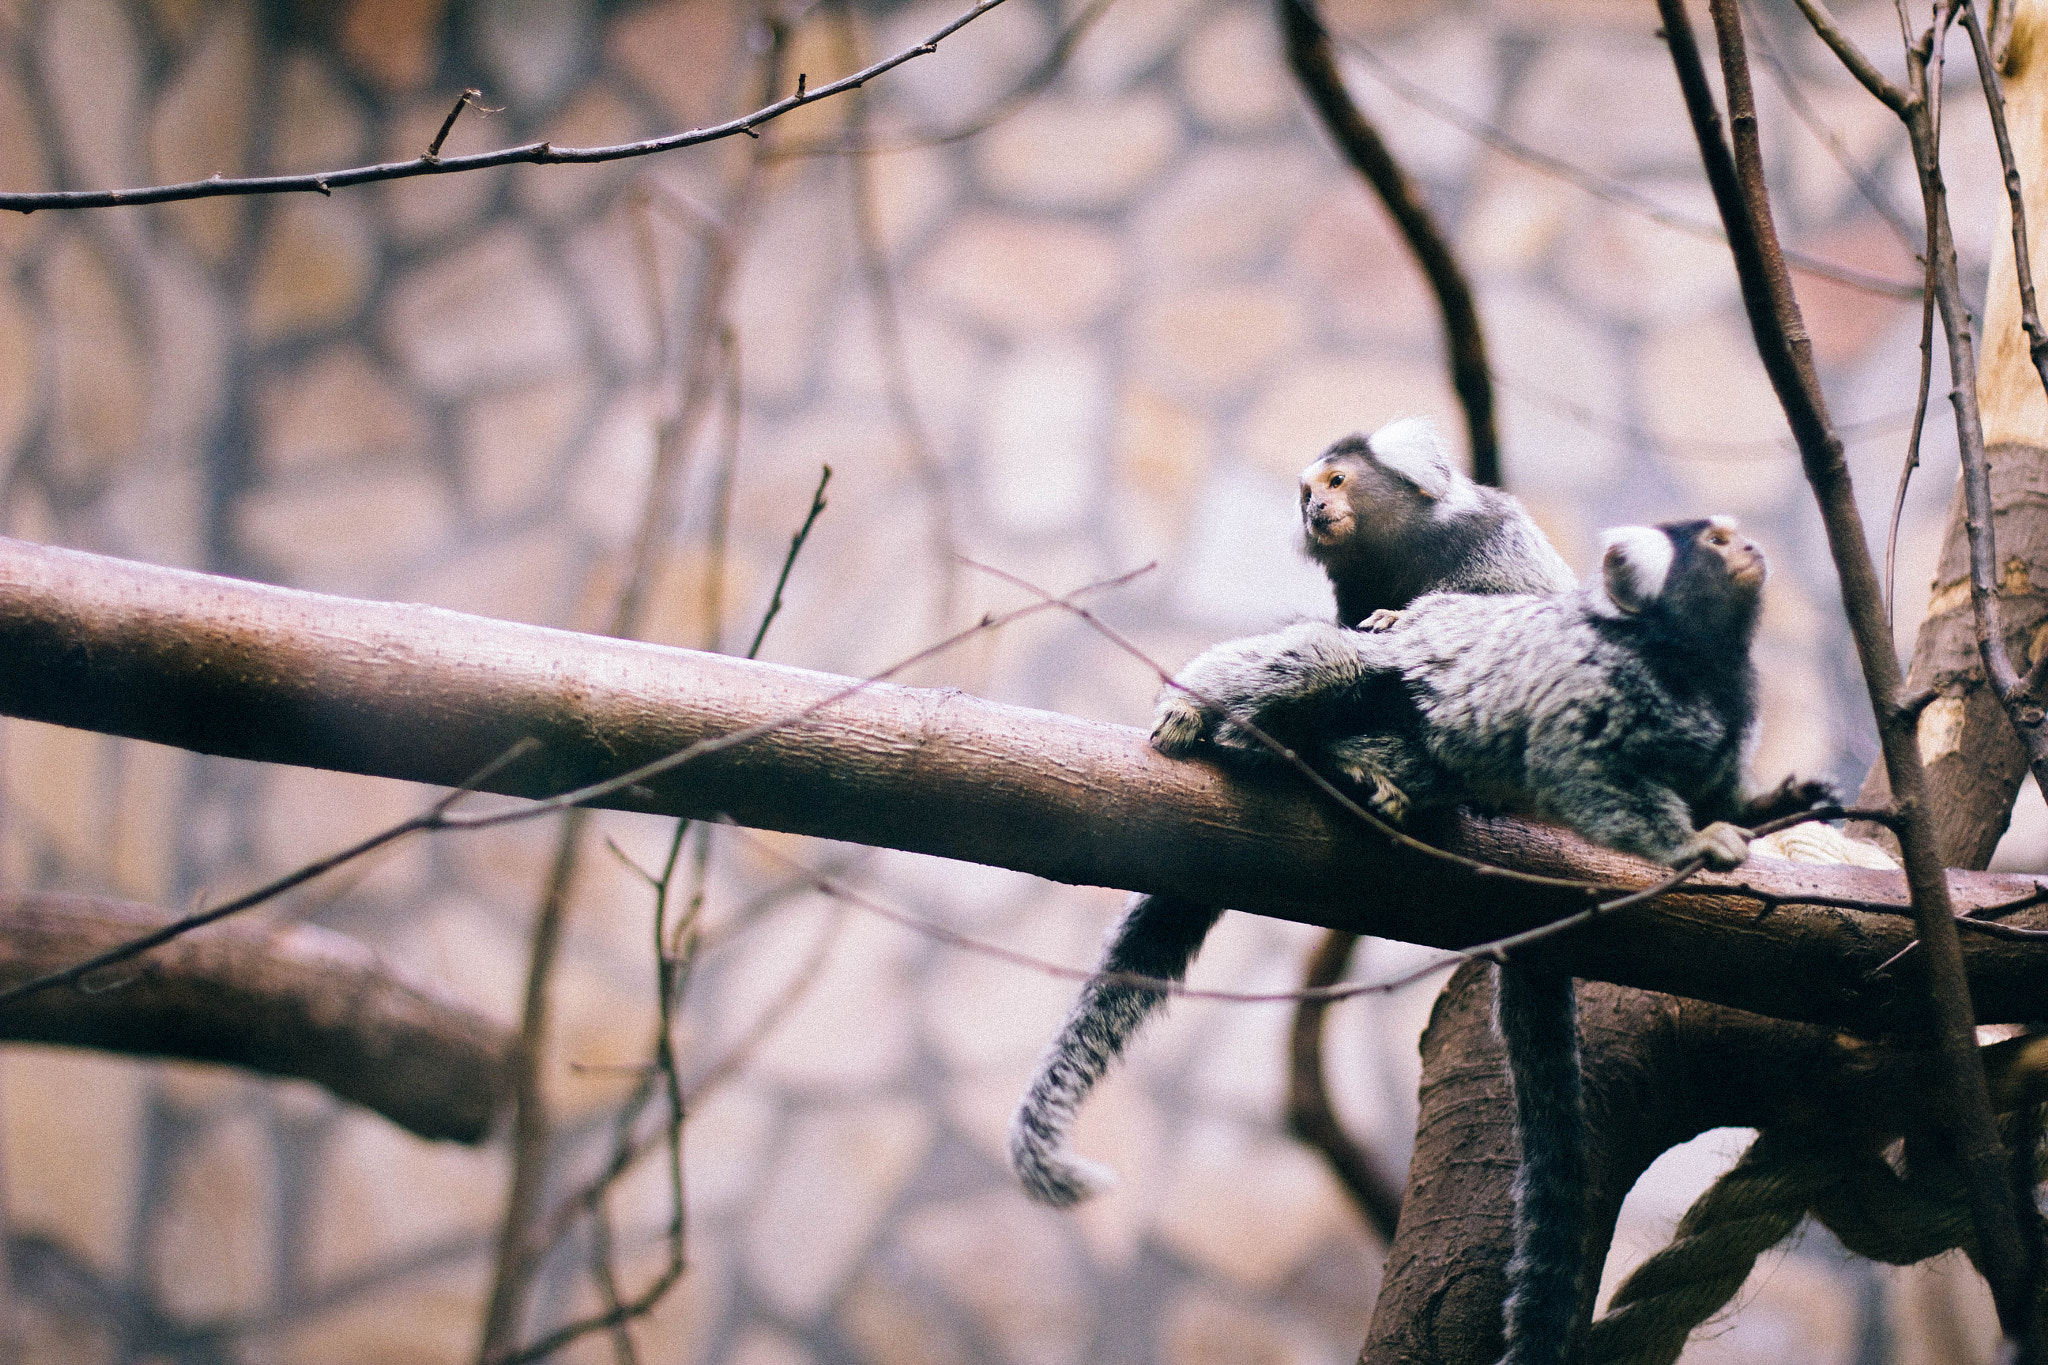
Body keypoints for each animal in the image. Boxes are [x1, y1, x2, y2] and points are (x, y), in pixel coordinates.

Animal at [1150, 515, 1835, 1365]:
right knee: (1322, 662)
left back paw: (1357, 770)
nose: (1747, 548)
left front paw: (1770, 804)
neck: (1696, 662)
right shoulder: (1601, 695)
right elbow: (1577, 764)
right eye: (1712, 538)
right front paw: (1690, 845)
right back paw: (1207, 710)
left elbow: (1720, 791)